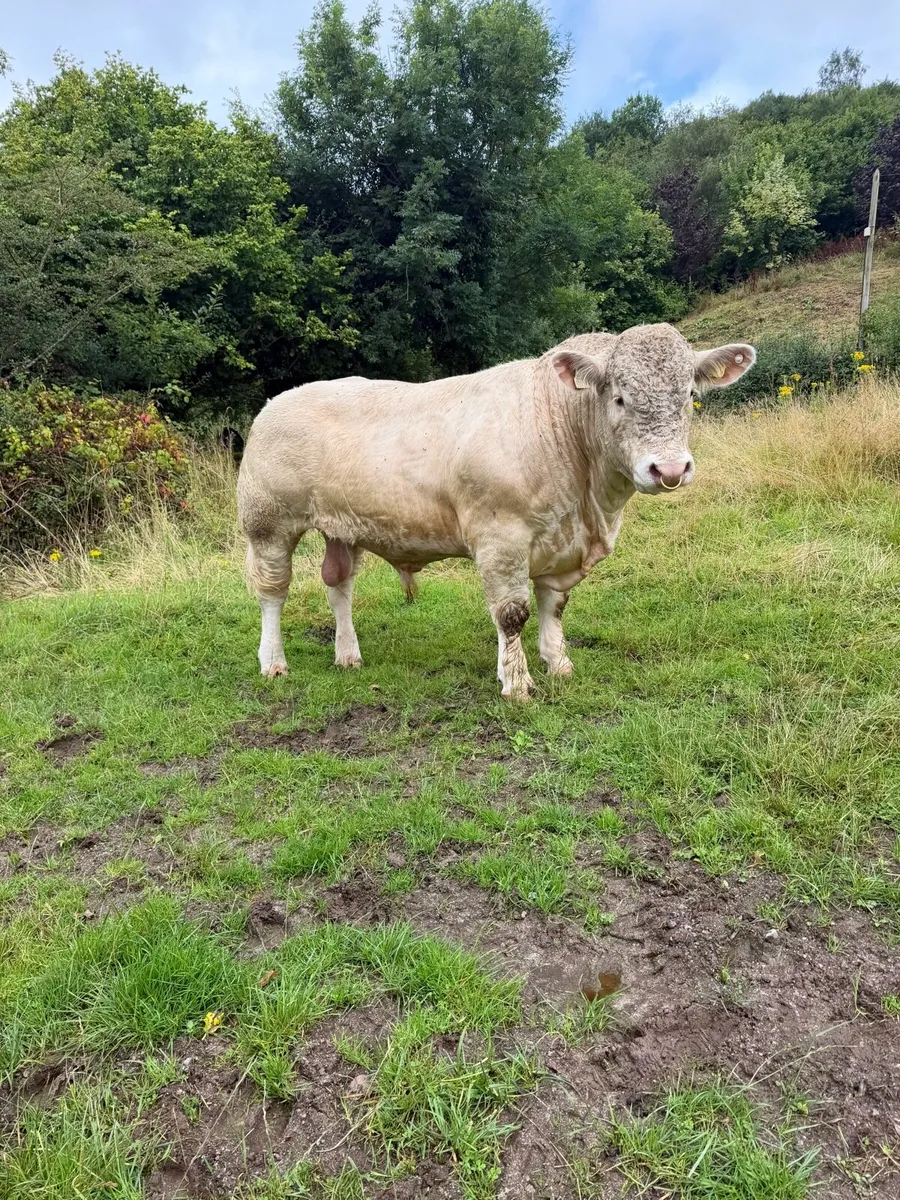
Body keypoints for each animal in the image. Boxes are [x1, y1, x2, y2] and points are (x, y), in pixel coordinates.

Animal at [237, 324, 755, 699]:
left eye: (689, 395)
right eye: (620, 397)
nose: (669, 469)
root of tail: (276, 402)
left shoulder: (560, 543)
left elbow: (554, 606)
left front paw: (559, 663)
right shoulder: (500, 539)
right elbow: (512, 614)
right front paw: (517, 683)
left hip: (342, 527)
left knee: (339, 584)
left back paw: (348, 654)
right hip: (268, 523)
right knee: (272, 592)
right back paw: (273, 662)